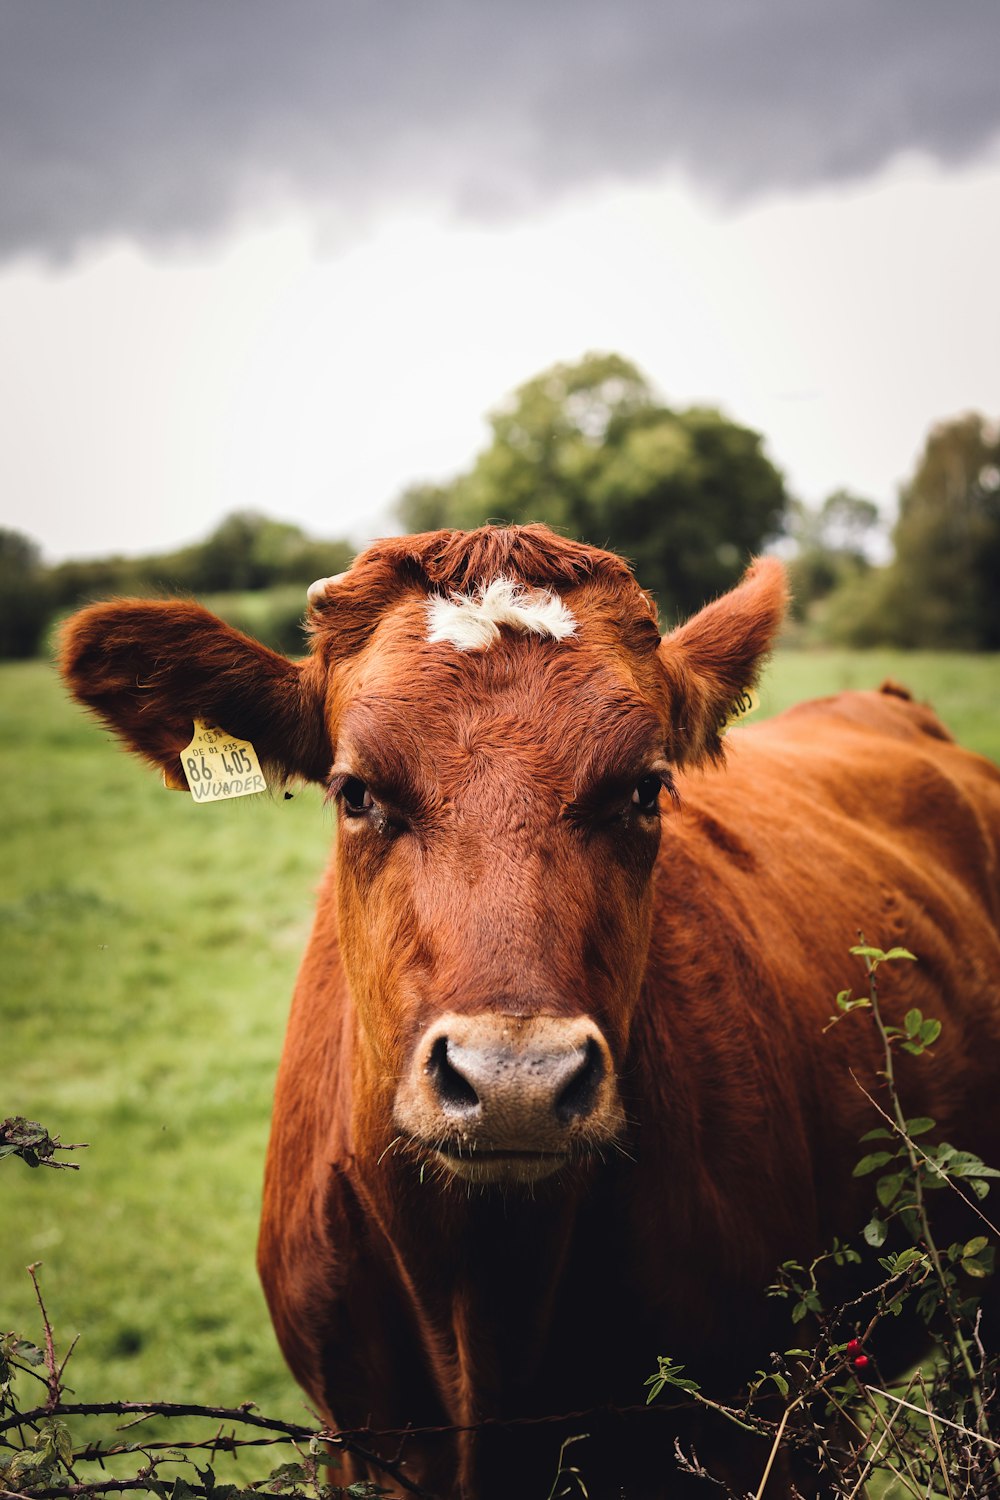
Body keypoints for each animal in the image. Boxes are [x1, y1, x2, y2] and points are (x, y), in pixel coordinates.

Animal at [58, 528, 1000, 1500]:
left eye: (645, 790)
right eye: (356, 791)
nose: (515, 1080)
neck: (484, 1313)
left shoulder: (789, 1433)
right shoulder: (359, 1446)